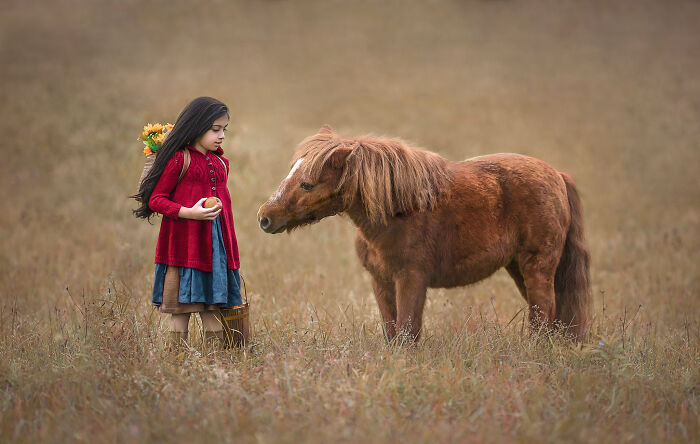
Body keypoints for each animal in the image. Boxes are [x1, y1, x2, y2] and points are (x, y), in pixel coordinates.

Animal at [257, 125, 592, 342]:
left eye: (307, 183)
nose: (265, 217)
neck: (397, 211)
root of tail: (558, 176)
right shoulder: (381, 282)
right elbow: (393, 332)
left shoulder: (411, 279)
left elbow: (408, 332)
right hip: (519, 268)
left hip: (537, 267)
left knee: (543, 315)